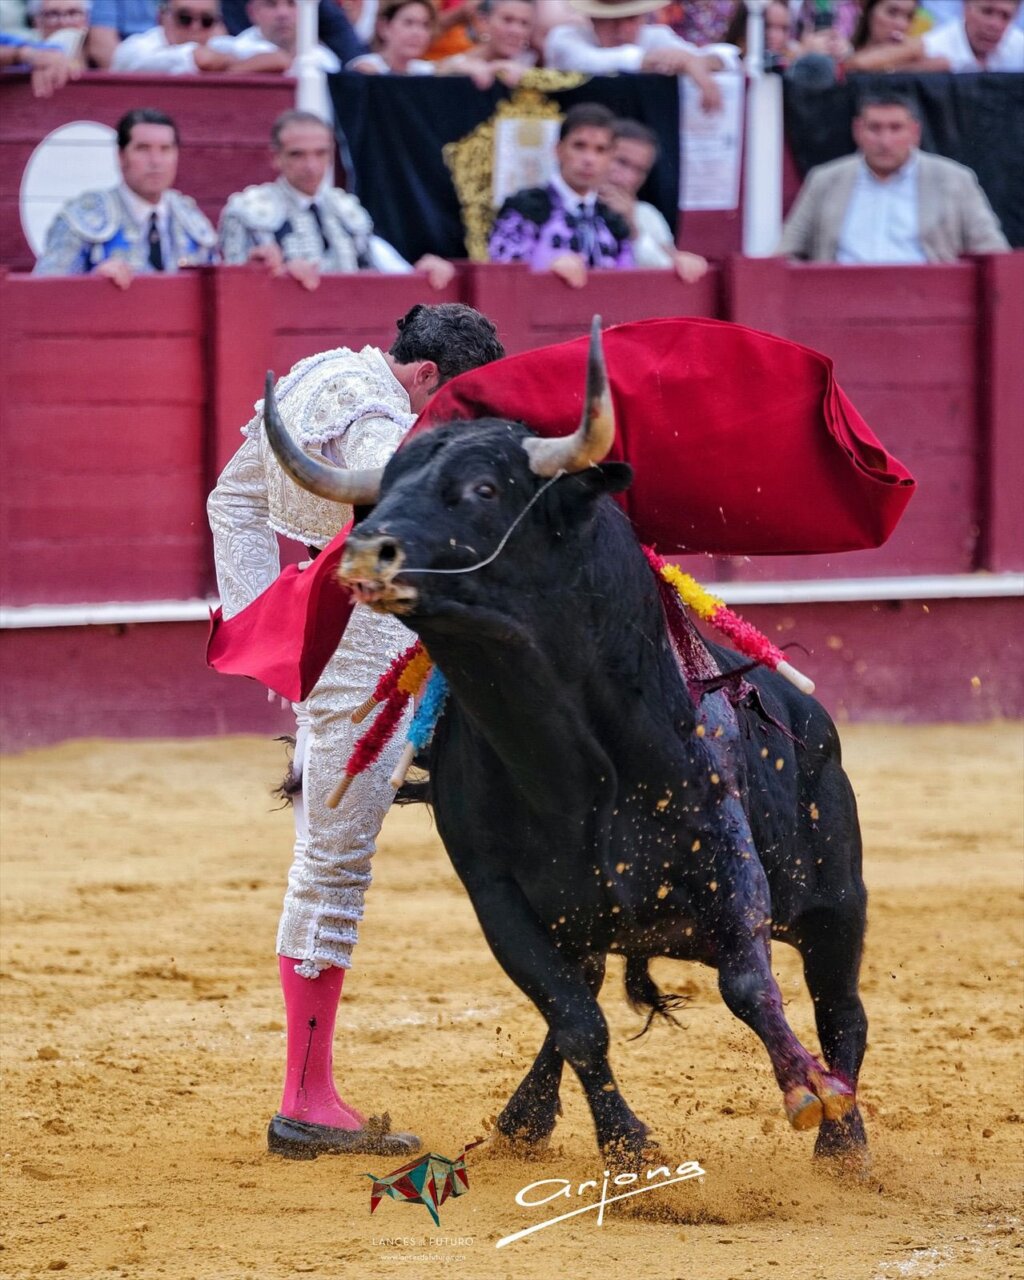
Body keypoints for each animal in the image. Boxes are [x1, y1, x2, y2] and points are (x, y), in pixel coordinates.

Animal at [260, 323, 869, 1169]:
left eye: (484, 489)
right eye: (379, 495)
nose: (365, 552)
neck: (568, 760)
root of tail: (816, 724)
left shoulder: (726, 856)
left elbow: (748, 985)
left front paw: (810, 1095)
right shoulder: (499, 897)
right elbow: (577, 1020)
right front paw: (628, 1147)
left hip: (836, 902)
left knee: (842, 1008)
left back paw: (846, 1145)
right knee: (577, 1000)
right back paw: (519, 1121)